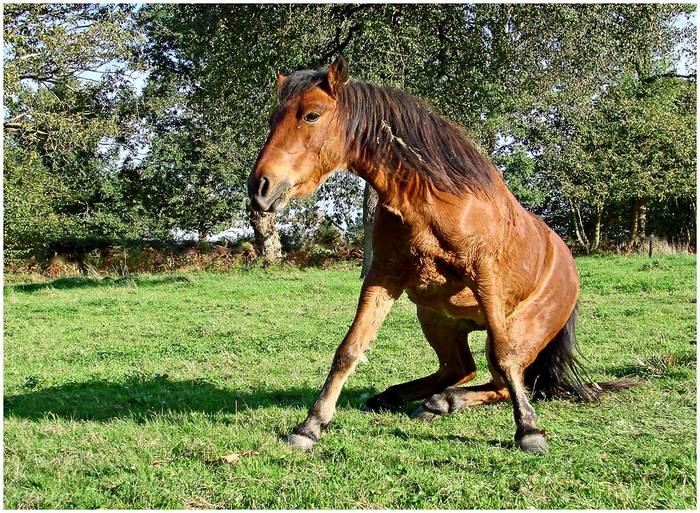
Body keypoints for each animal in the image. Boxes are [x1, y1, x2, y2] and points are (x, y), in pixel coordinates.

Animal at [247, 54, 636, 450]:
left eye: (311, 115)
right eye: (273, 118)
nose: (259, 186)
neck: (431, 198)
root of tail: (569, 270)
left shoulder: (484, 273)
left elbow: (506, 357)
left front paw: (528, 430)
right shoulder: (383, 275)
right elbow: (349, 350)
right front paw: (310, 425)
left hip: (520, 328)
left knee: (504, 377)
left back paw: (444, 402)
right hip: (437, 319)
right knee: (461, 369)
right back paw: (403, 397)